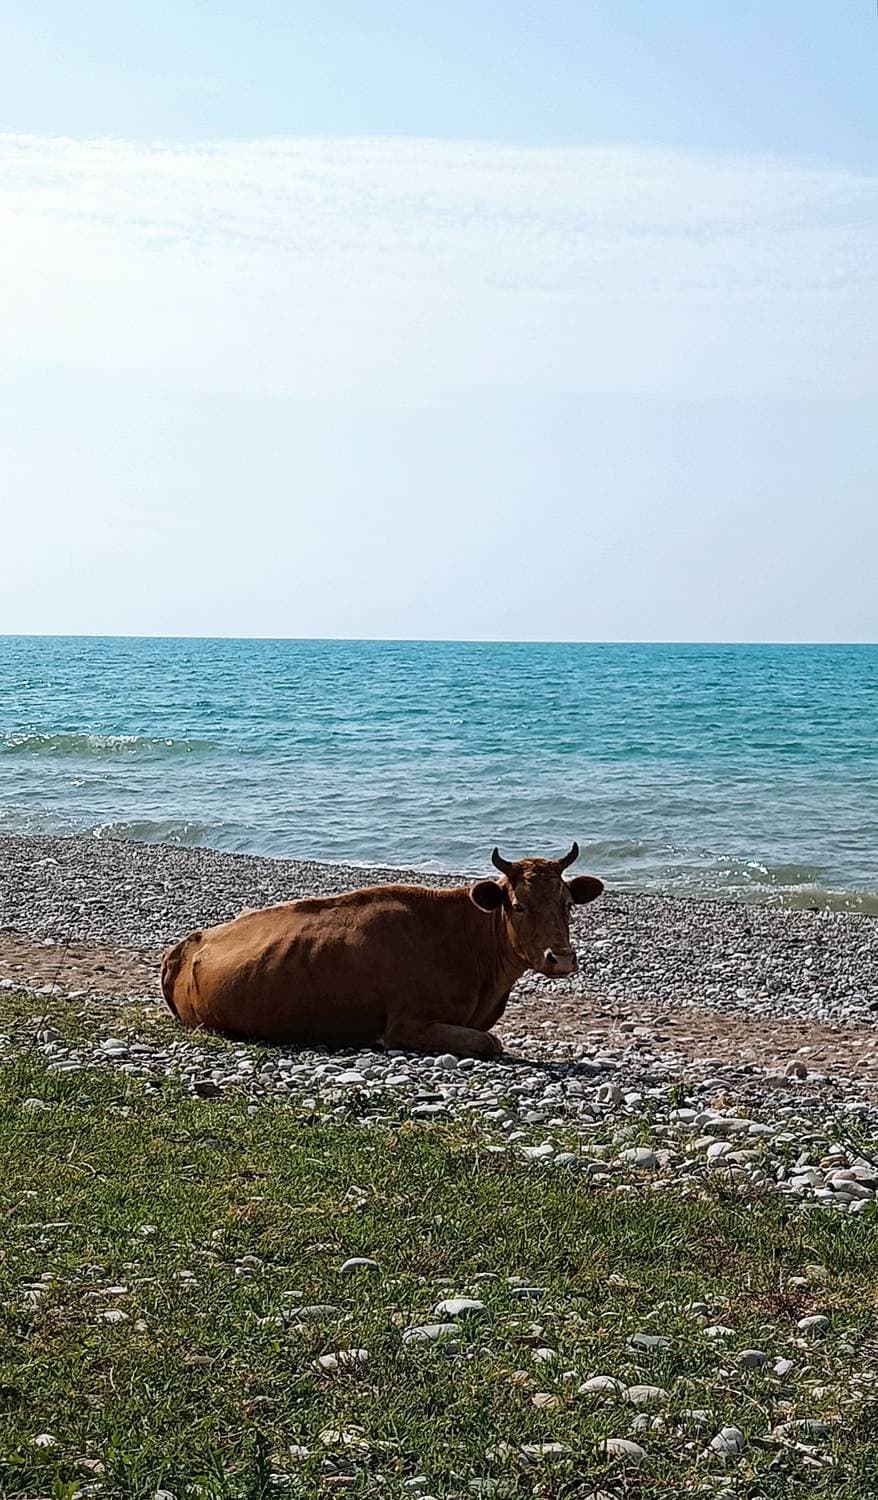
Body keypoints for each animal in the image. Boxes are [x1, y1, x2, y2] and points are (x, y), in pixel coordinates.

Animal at [160, 843, 604, 1058]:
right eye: (518, 905)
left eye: (567, 904)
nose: (561, 958)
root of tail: (184, 946)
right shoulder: (406, 1025)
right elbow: (489, 1043)